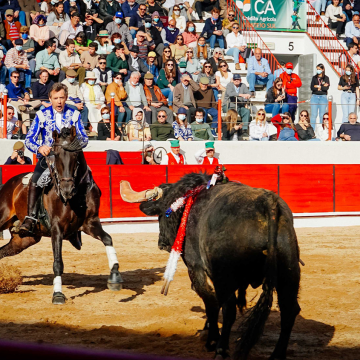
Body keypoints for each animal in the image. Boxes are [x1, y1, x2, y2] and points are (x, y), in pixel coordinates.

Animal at [0, 126, 122, 304]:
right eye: (55, 154)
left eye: (76, 155)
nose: (66, 189)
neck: (75, 196)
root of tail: (8, 184)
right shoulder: (56, 228)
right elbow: (58, 263)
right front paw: (57, 294)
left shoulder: (90, 223)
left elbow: (108, 239)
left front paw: (115, 276)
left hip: (24, 239)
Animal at [121, 173, 300, 358]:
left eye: (163, 213)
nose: (161, 243)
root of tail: (268, 203)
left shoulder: (196, 268)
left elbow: (210, 301)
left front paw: (212, 338)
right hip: (289, 271)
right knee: (289, 310)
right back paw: (277, 354)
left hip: (224, 276)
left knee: (228, 308)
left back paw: (221, 348)